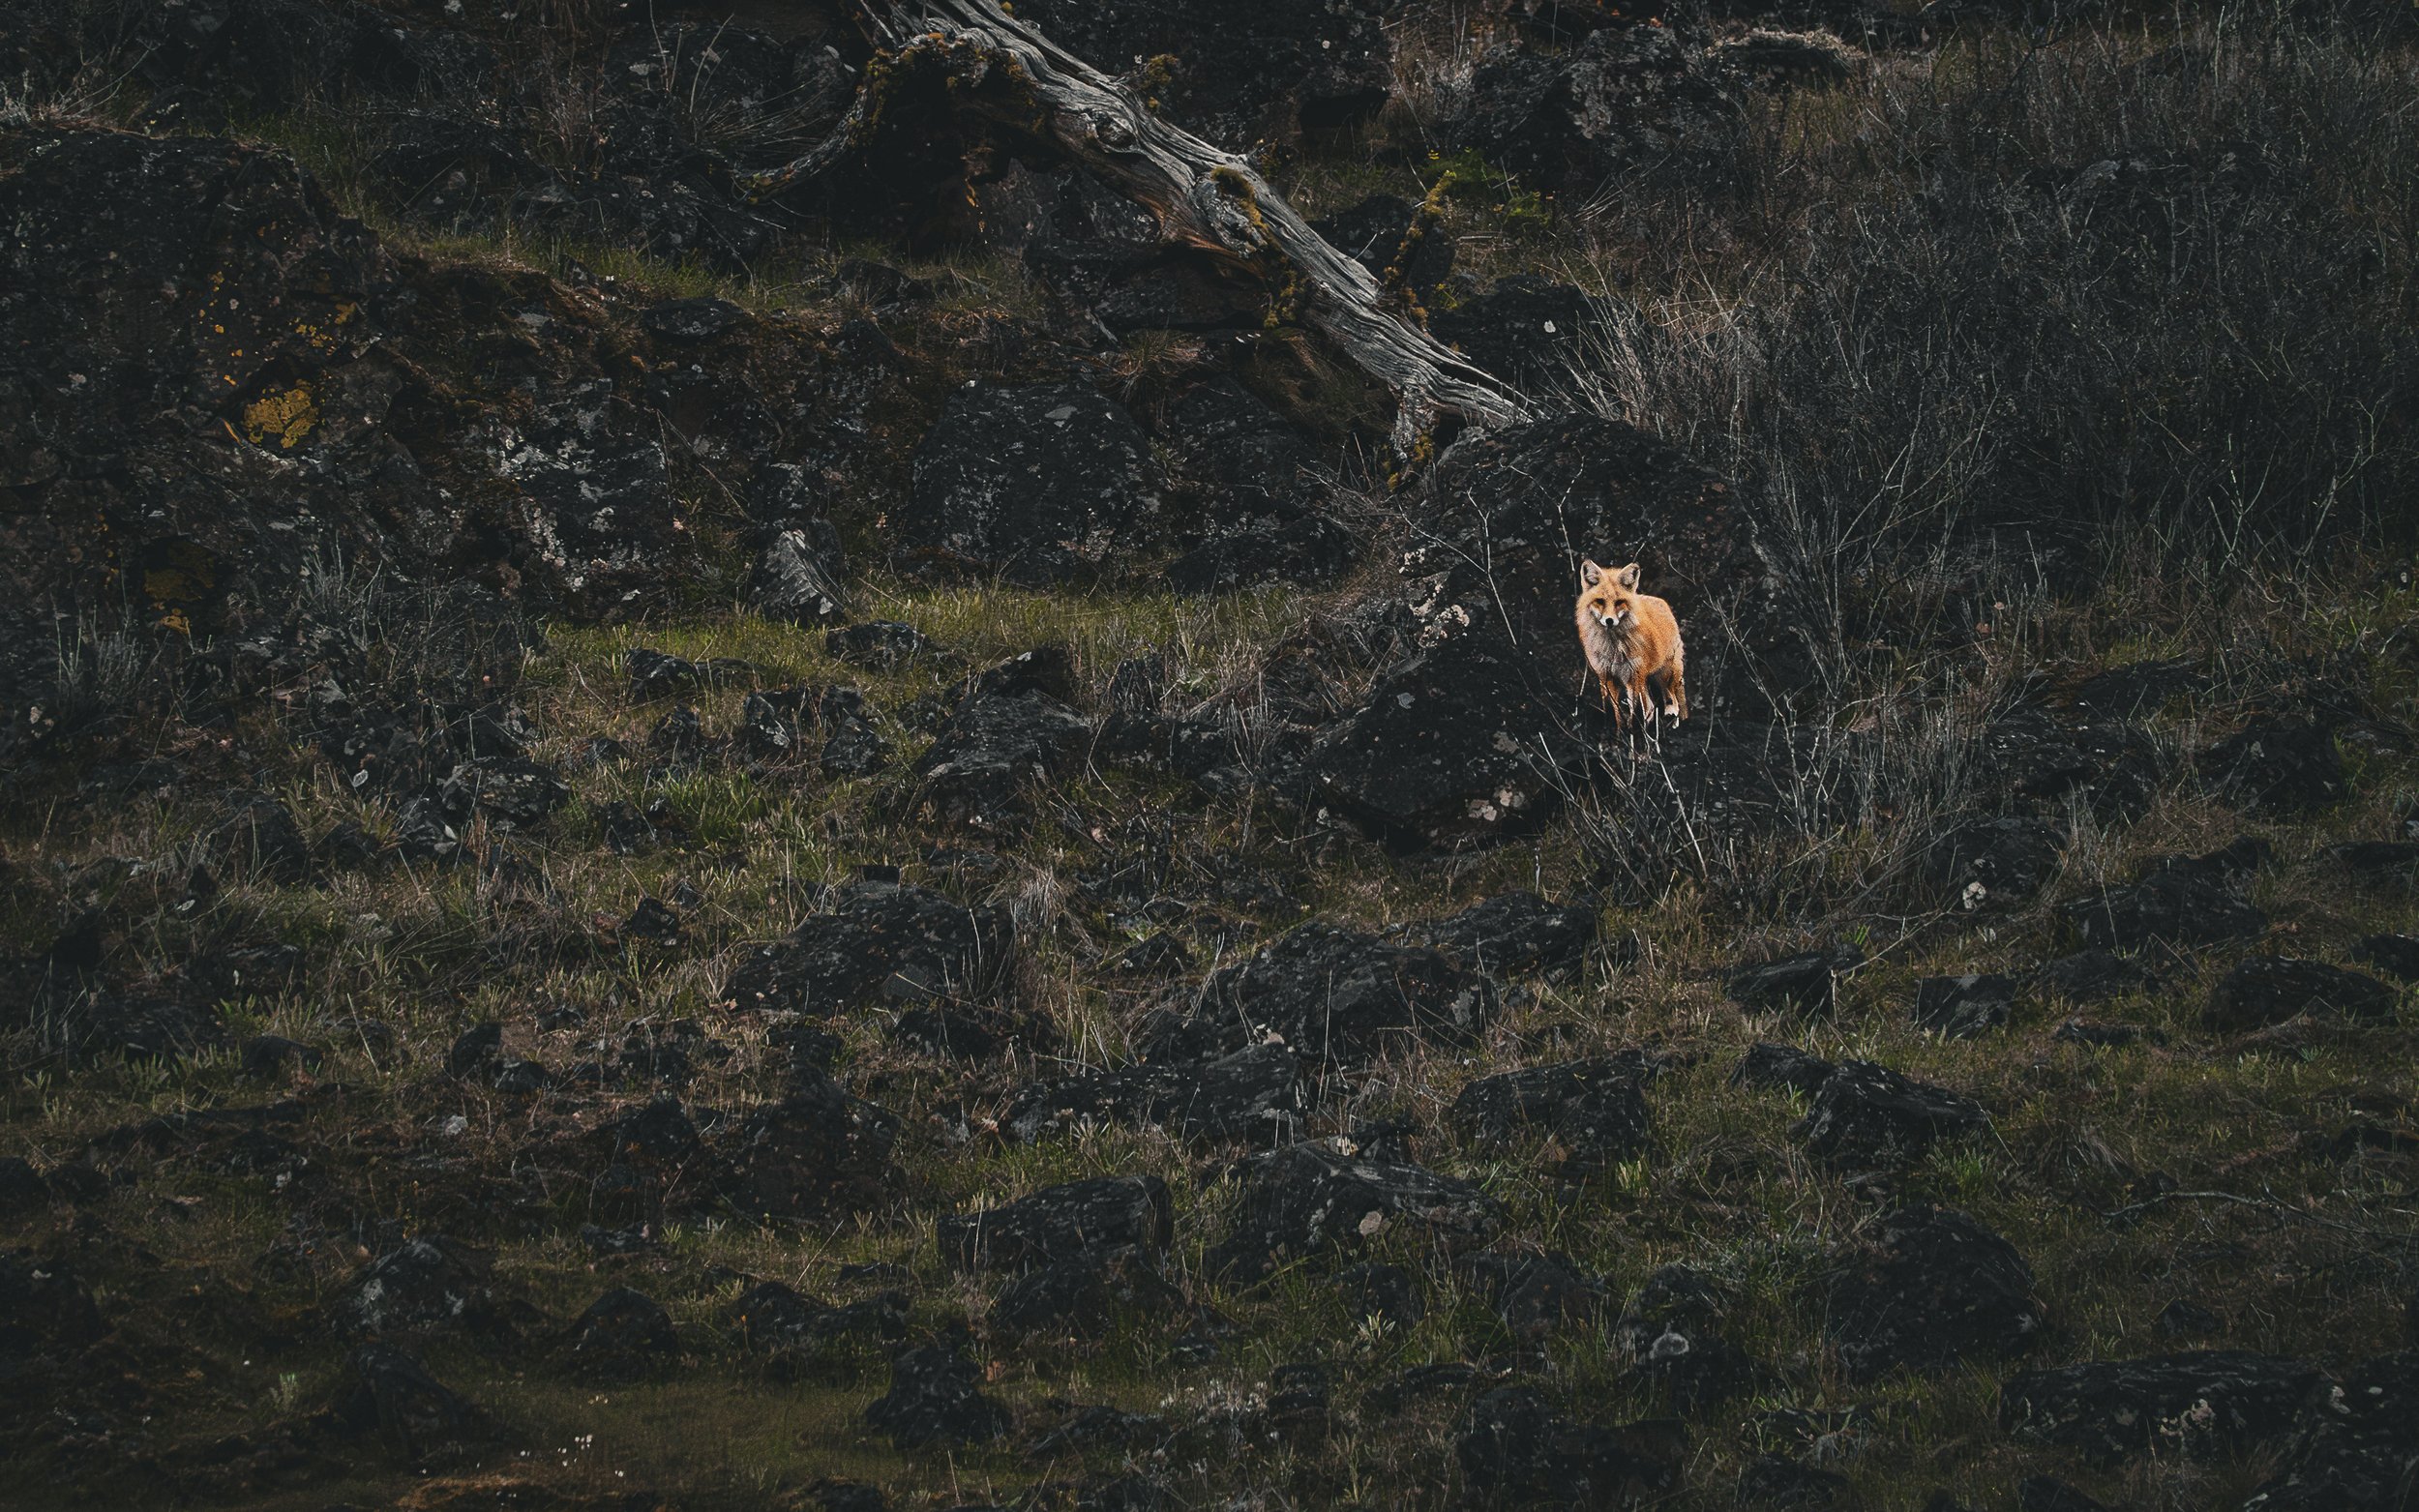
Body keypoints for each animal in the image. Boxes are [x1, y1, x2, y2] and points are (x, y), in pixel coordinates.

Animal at [1575, 559, 1687, 731]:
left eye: (1619, 602)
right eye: (1600, 601)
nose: (1609, 621)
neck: (1613, 648)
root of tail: (1660, 601)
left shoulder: (1633, 676)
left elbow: (1635, 712)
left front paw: (1634, 732)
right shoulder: (1606, 676)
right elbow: (1614, 711)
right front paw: (1617, 733)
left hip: (1665, 675)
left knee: (1672, 702)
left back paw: (1670, 725)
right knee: (1651, 707)